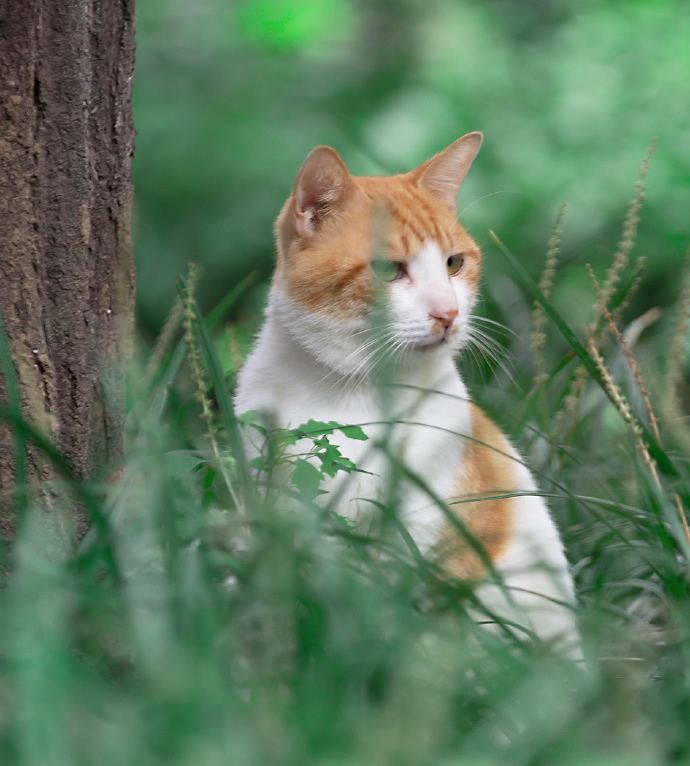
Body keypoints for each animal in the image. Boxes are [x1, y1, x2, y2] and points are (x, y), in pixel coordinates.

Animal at [234, 134, 576, 660]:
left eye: (454, 263)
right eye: (388, 270)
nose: (448, 313)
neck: (355, 397)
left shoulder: (436, 541)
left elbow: (423, 637)